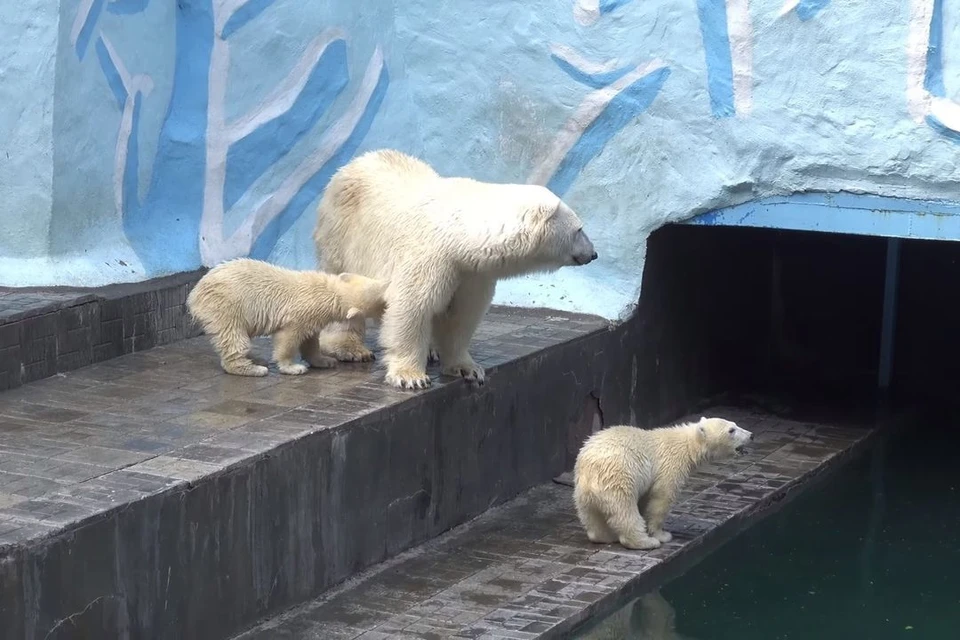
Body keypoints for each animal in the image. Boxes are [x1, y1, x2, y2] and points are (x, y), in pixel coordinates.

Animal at [316, 151, 596, 390]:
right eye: (579, 229)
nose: (593, 254)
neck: (461, 234)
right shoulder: (430, 255)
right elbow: (412, 306)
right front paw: (411, 377)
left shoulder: (472, 272)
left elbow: (462, 315)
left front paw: (468, 369)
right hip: (341, 233)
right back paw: (350, 348)